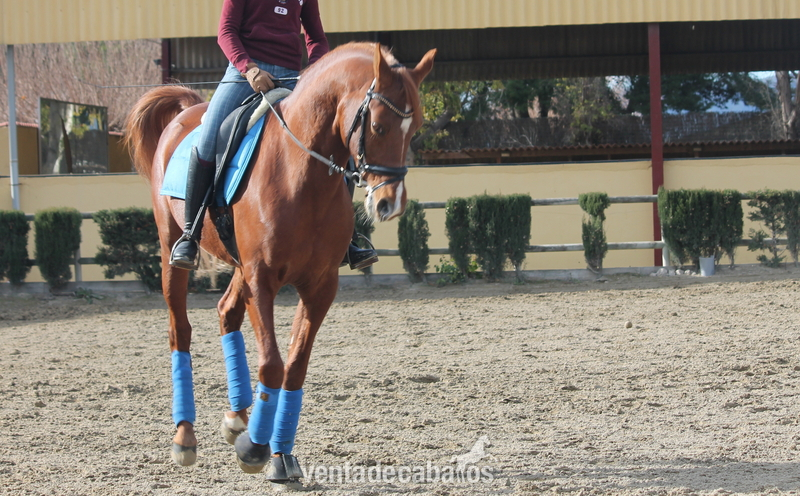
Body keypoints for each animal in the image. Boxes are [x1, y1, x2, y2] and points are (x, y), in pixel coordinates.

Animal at [124, 42, 435, 483]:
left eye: (416, 127)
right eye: (377, 126)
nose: (389, 204)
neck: (300, 175)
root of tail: (188, 110)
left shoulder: (320, 287)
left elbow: (294, 367)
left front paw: (280, 454)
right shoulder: (262, 279)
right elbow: (271, 363)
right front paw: (255, 449)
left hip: (238, 266)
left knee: (226, 313)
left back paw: (237, 417)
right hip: (173, 252)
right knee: (179, 331)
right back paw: (185, 437)